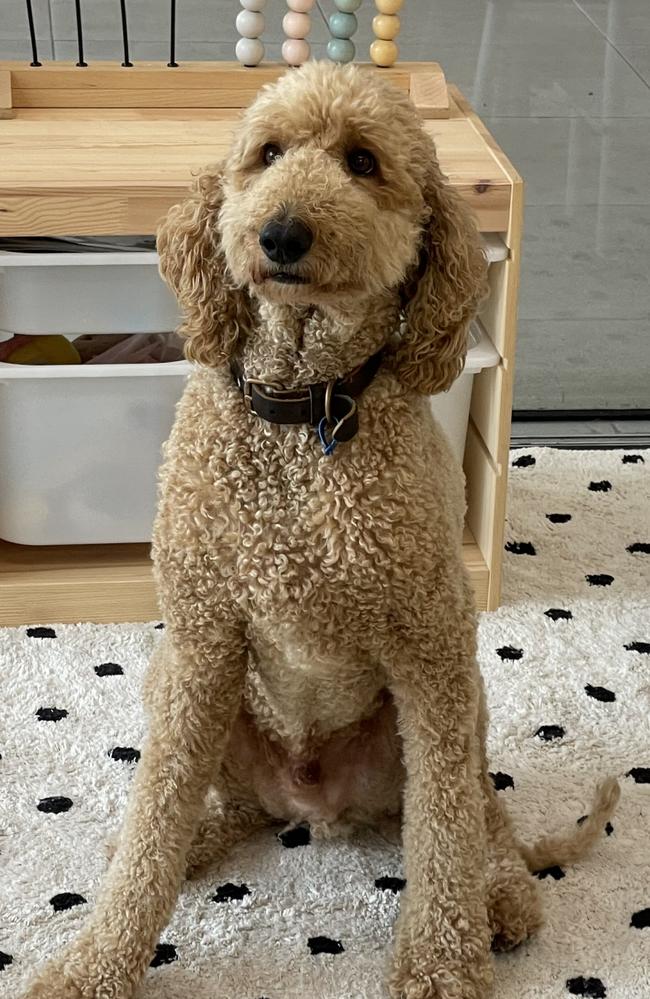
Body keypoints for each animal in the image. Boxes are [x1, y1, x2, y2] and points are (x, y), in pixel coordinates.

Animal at [21, 60, 616, 999]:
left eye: (362, 162)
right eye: (267, 154)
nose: (281, 232)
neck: (305, 412)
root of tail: (311, 801)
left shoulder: (431, 646)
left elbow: (445, 827)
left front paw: (444, 961)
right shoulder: (202, 638)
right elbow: (156, 809)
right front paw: (95, 960)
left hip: (459, 696)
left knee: (477, 808)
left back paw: (503, 893)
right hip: (181, 684)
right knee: (218, 805)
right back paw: (195, 839)